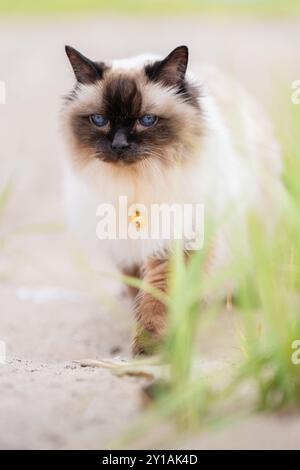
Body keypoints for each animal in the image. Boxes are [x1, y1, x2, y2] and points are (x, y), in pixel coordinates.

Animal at [61, 45, 282, 356]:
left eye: (147, 120)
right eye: (99, 120)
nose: (119, 145)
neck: (137, 182)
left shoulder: (177, 242)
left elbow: (159, 300)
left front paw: (151, 349)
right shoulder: (128, 249)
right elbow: (140, 291)